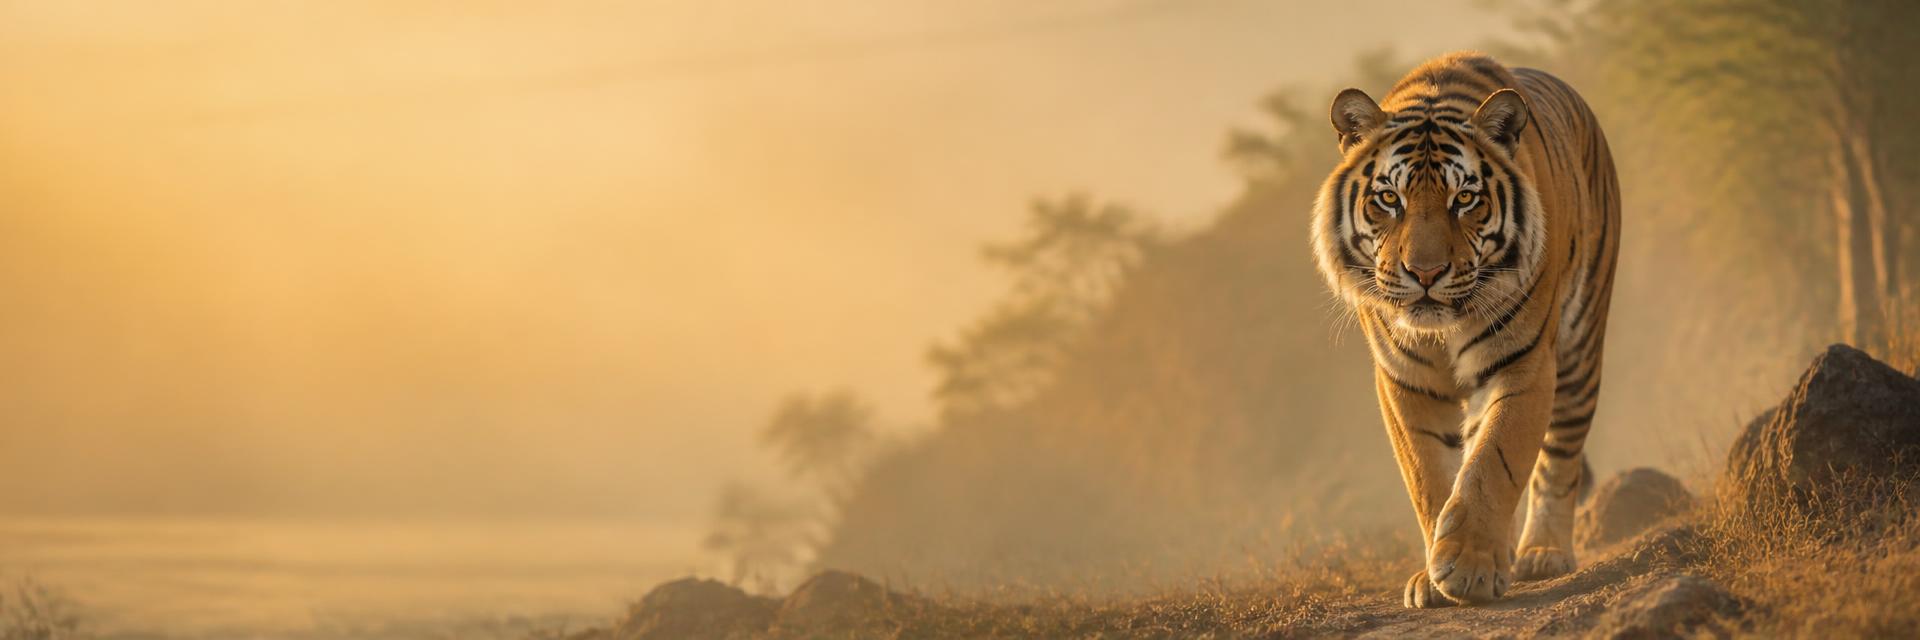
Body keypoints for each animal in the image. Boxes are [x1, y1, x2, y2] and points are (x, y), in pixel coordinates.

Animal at [1309, 52, 1619, 608]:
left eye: (1465, 199)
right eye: (1389, 199)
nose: (1425, 272)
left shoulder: (1523, 364)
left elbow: (1495, 461)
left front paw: (1470, 566)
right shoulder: (1403, 381)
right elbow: (1430, 474)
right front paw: (1437, 573)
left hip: (1581, 349)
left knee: (1559, 456)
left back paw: (1542, 553)